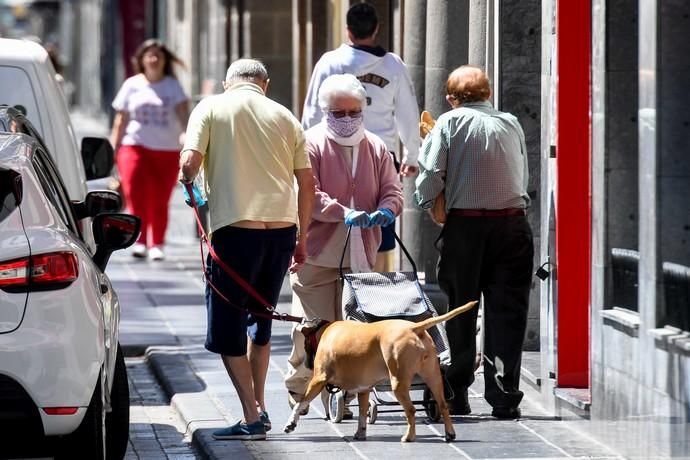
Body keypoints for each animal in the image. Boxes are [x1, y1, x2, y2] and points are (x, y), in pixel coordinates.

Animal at [282, 302, 476, 442]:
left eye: (305, 344)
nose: (307, 364)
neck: (324, 330)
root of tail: (414, 328)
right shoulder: (364, 389)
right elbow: (362, 413)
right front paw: (360, 433)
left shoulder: (318, 380)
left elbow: (301, 403)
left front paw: (291, 423)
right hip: (434, 377)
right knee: (442, 405)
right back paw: (449, 433)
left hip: (398, 382)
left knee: (411, 410)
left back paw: (409, 437)